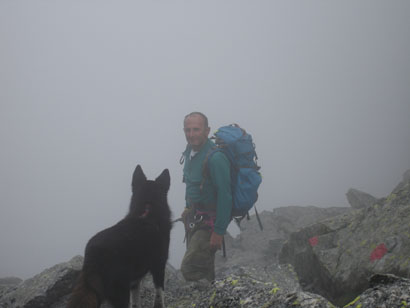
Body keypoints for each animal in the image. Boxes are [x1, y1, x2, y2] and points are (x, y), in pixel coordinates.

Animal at [67, 166, 171, 308]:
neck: (147, 210)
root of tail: (94, 255)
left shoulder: (135, 281)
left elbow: (136, 301)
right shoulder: (159, 265)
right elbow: (160, 295)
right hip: (120, 292)